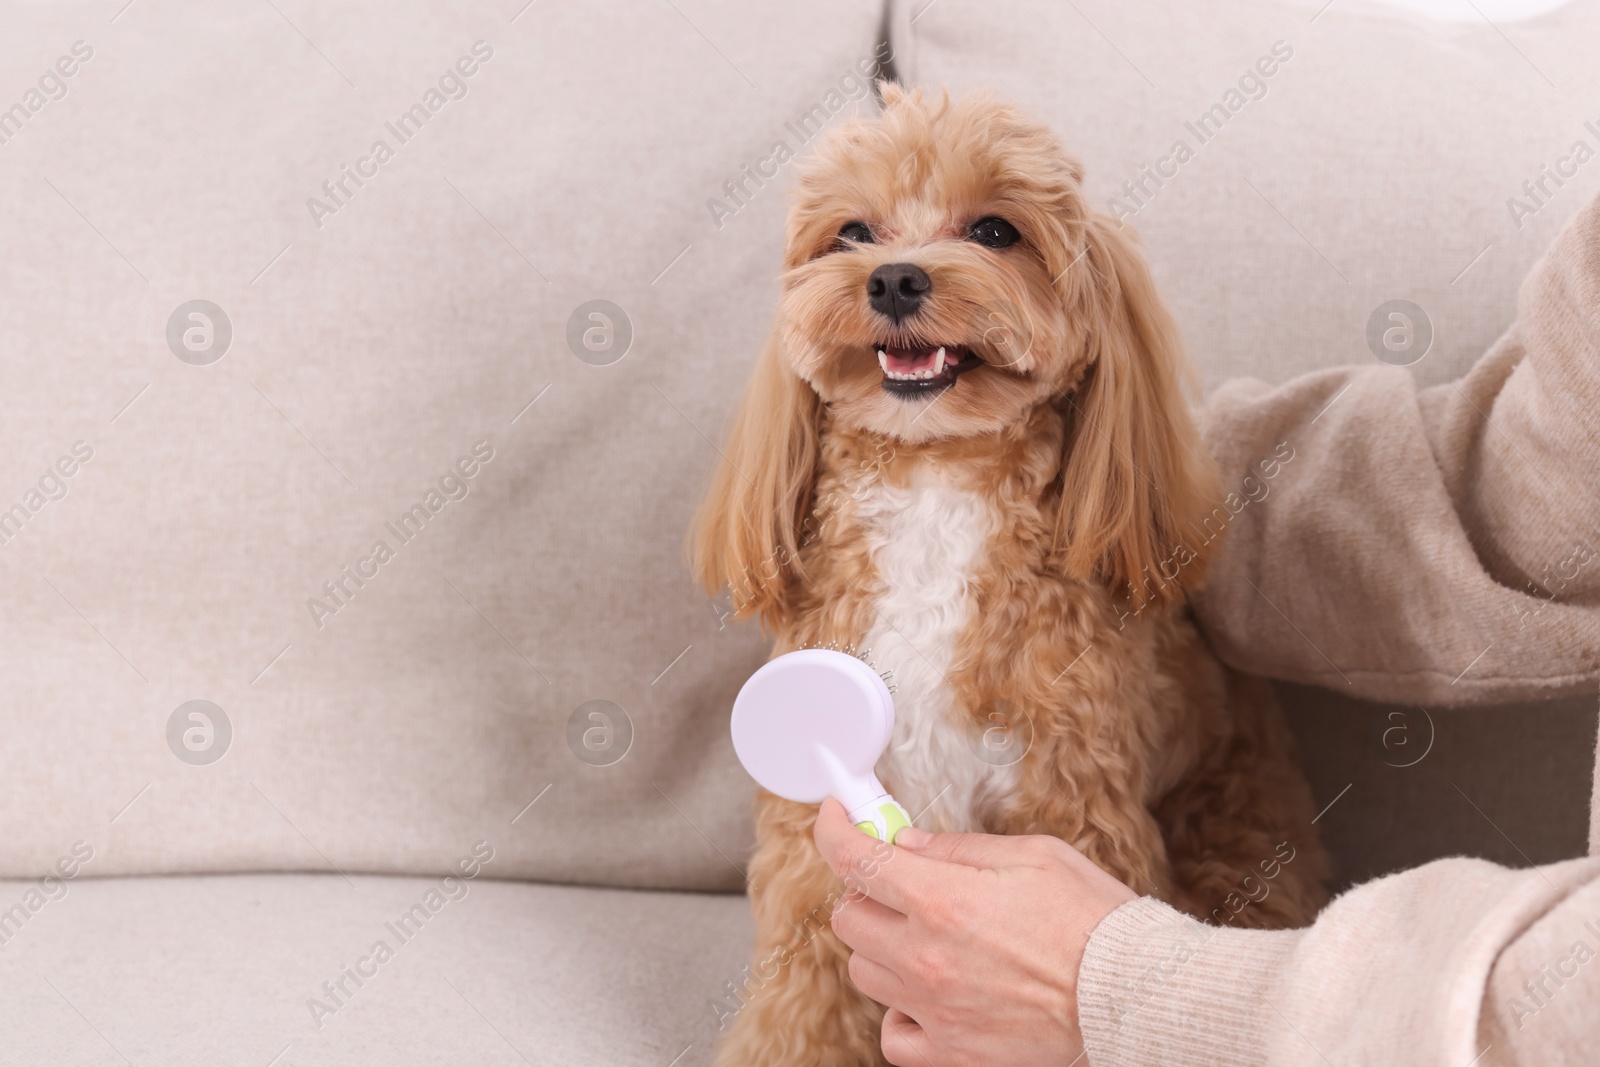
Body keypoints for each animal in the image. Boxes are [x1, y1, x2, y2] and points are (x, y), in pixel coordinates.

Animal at [694, 87, 1331, 1062]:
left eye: (996, 230)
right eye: (851, 233)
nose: (895, 279)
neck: (935, 483)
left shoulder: (1073, 801)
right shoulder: (812, 843)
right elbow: (802, 1007)